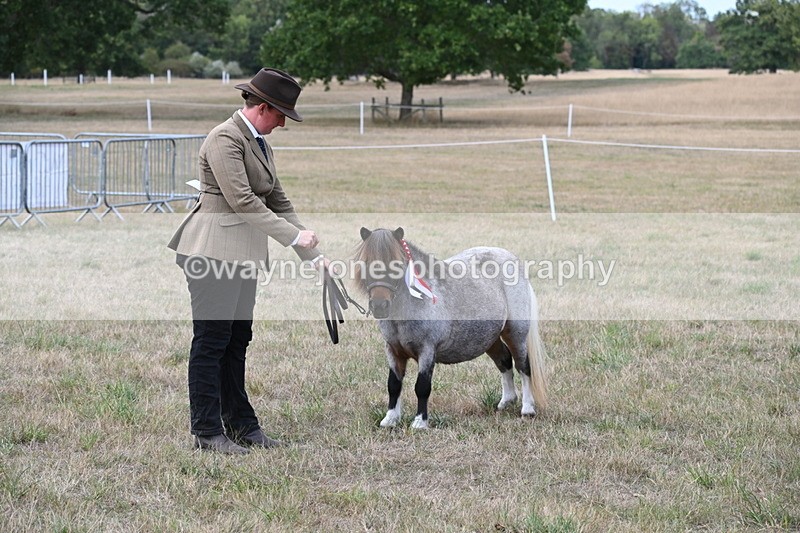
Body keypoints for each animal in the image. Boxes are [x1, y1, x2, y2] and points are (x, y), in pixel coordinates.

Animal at [353, 226, 548, 429]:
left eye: (397, 265)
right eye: (366, 263)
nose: (379, 305)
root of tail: (512, 259)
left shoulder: (427, 350)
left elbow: (422, 387)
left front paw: (420, 422)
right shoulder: (393, 351)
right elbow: (393, 385)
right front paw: (390, 419)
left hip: (516, 335)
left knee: (523, 366)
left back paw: (527, 409)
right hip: (490, 338)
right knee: (504, 360)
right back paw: (506, 402)